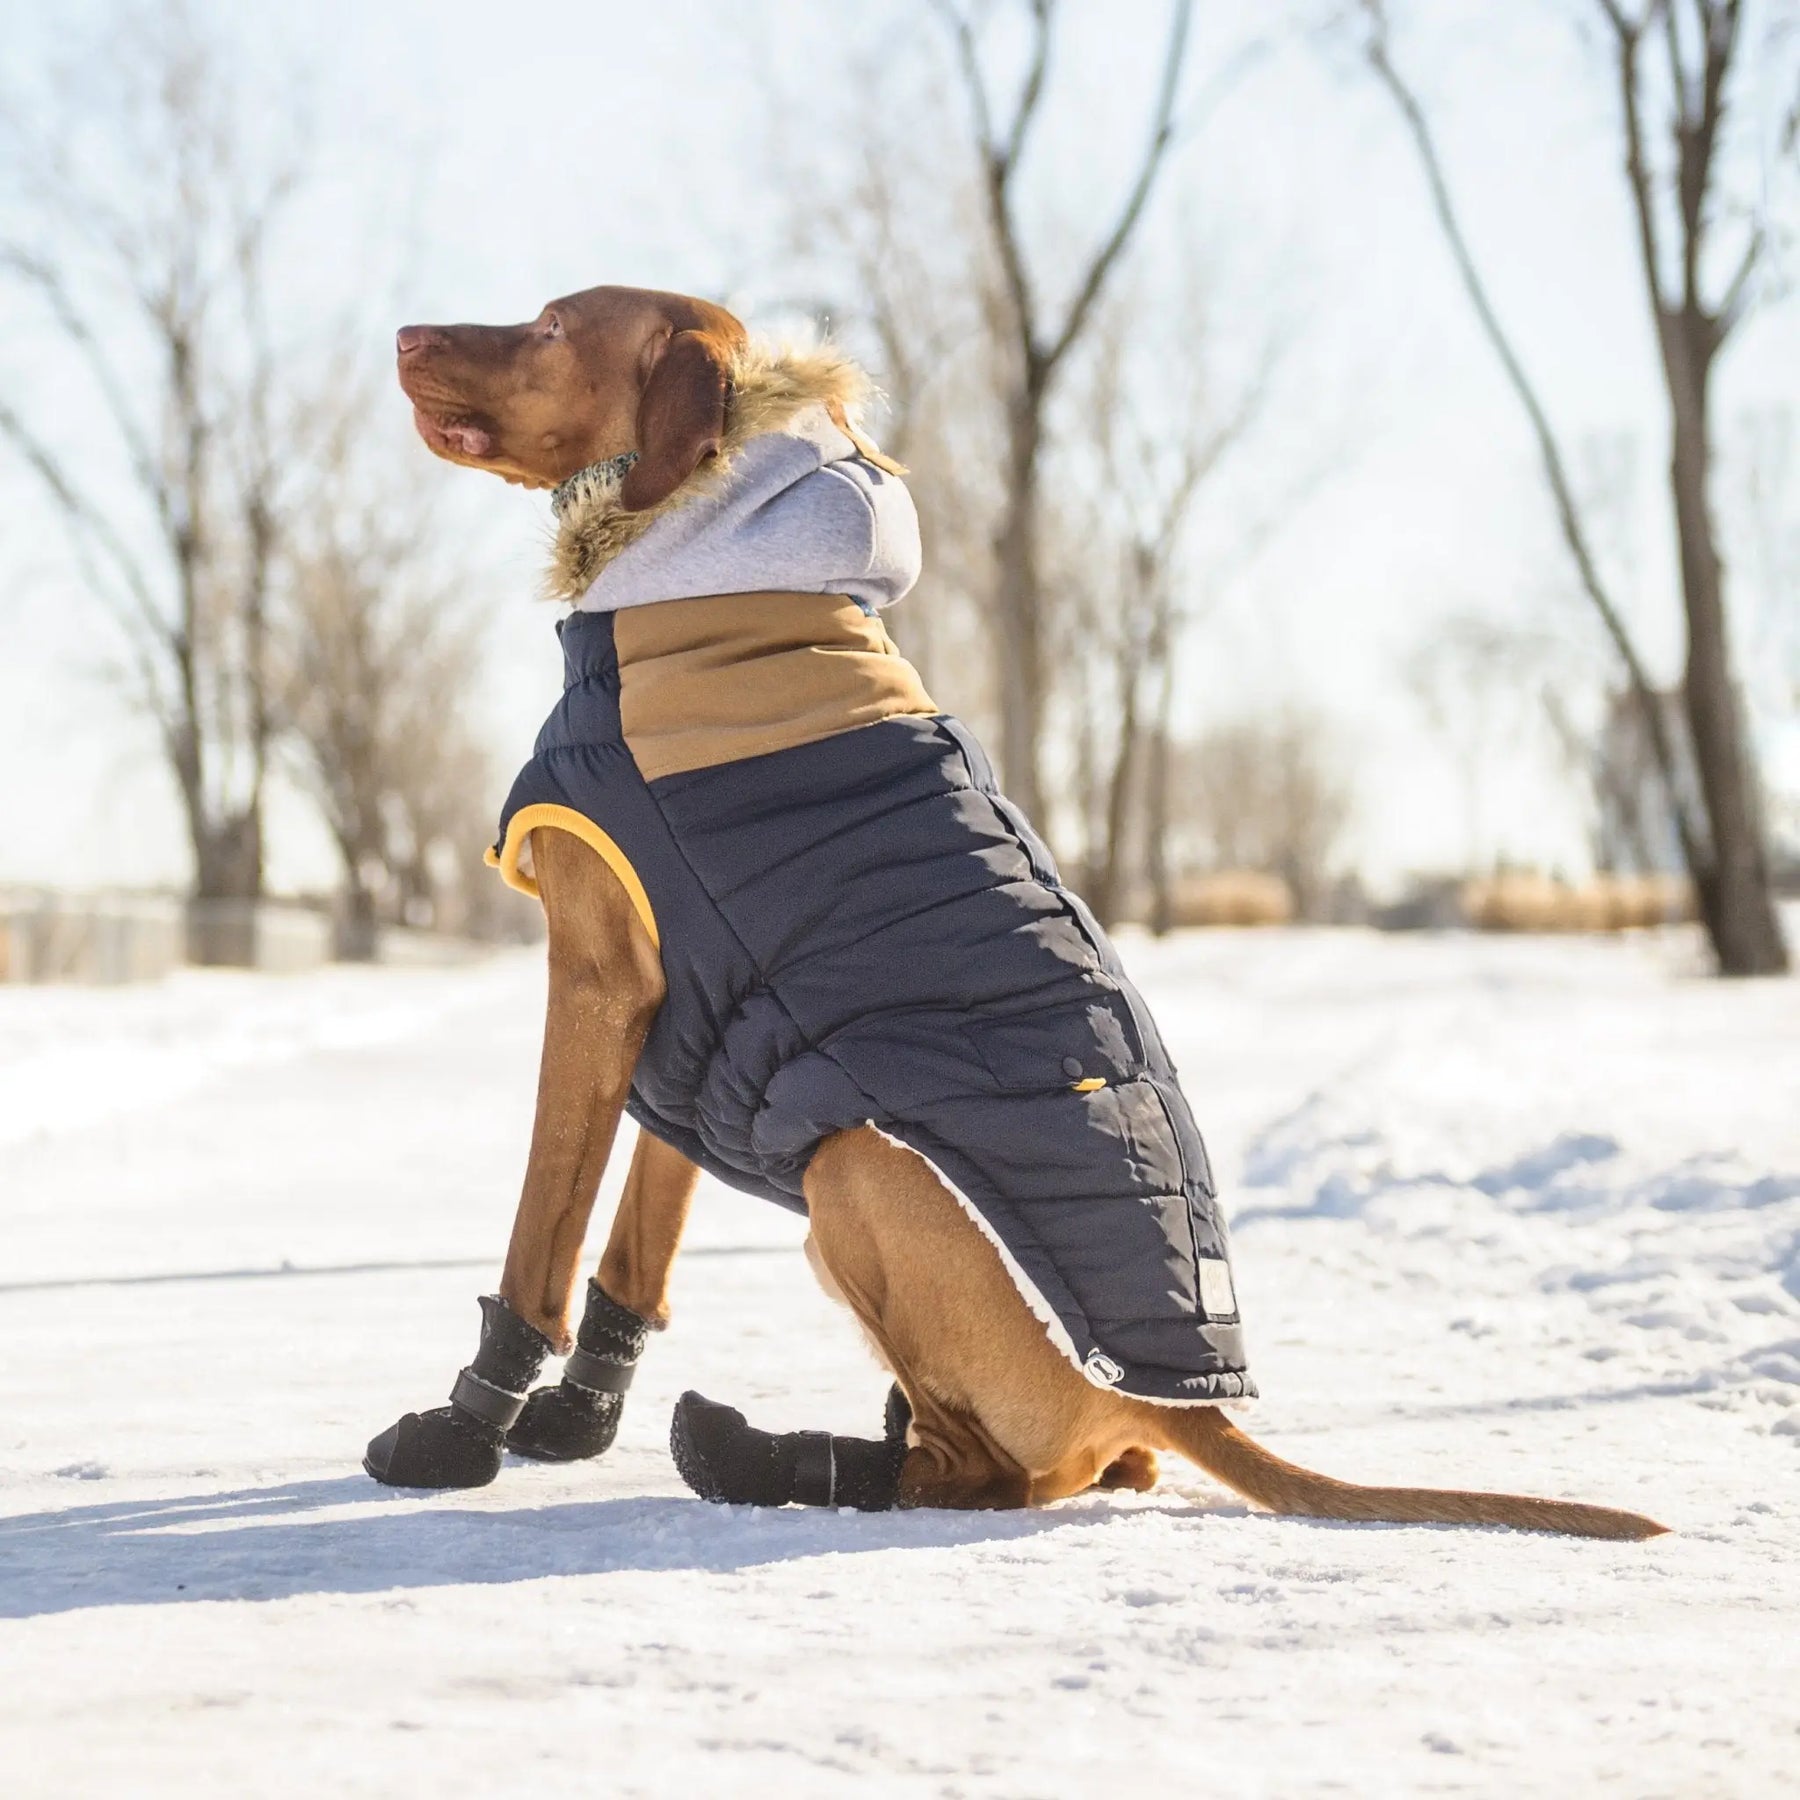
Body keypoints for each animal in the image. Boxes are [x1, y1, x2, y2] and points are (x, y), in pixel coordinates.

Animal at [369, 288, 1670, 1540]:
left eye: (549, 325)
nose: (405, 332)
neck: (716, 569)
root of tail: (1171, 1399)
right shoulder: (699, 1014)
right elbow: (637, 1240)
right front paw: (573, 1420)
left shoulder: (602, 983)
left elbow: (541, 1232)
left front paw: (464, 1430)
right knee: (1106, 1468)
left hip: (861, 1174)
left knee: (989, 1474)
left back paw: (791, 1462)